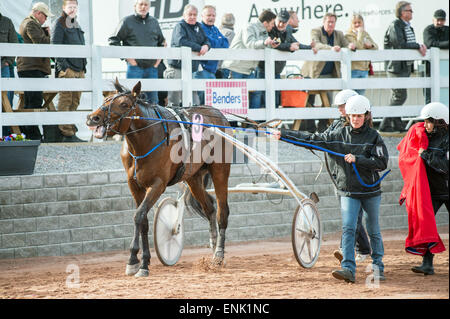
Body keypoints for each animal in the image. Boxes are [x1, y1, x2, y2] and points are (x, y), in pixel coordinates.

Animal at [85, 80, 230, 278]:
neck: (145, 141)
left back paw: (219, 255)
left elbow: (139, 215)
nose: (93, 118)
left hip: (220, 171)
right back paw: (213, 247)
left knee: (222, 212)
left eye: (124, 104)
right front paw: (141, 261)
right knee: (209, 208)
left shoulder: (157, 185)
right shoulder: (134, 185)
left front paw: (136, 262)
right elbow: (143, 220)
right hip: (193, 177)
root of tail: (219, 114)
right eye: (105, 99)